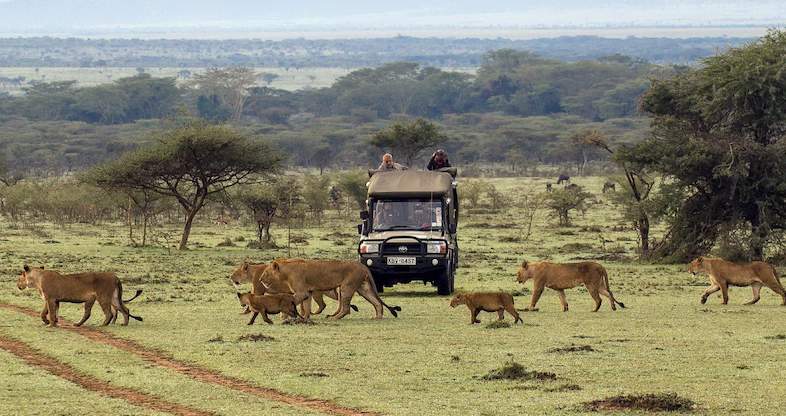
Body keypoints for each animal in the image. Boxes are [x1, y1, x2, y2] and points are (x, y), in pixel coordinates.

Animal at [228, 258, 356, 314]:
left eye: (236, 273)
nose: (231, 278)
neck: (253, 272)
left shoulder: (258, 290)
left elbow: (250, 301)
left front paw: (245, 312)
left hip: (318, 293)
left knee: (324, 304)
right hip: (326, 291)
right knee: (335, 299)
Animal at [262, 260, 402, 322]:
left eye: (266, 272)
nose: (260, 279)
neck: (285, 271)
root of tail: (362, 265)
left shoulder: (302, 292)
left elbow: (294, 303)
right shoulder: (308, 292)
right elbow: (306, 307)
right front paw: (305, 319)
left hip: (346, 287)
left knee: (346, 309)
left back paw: (334, 318)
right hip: (364, 288)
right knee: (377, 303)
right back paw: (377, 317)